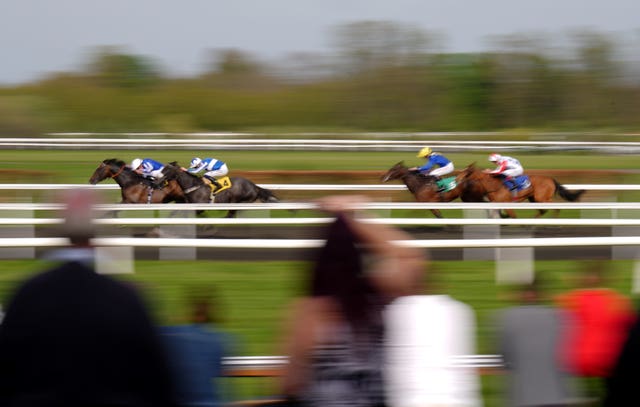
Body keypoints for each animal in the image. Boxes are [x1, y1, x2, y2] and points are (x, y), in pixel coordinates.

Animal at [458, 163, 588, 218]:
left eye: (466, 173)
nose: (457, 178)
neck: (493, 185)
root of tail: (551, 179)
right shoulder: (496, 204)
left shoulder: (507, 204)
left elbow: (513, 216)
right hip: (534, 199)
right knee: (543, 211)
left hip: (542, 198)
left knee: (555, 207)